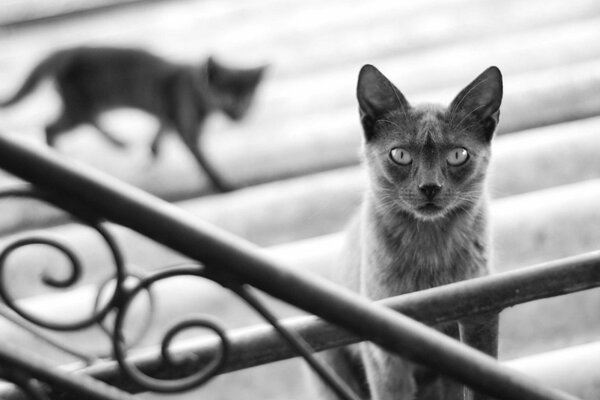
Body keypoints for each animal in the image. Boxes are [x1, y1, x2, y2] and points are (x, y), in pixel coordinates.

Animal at [0, 45, 268, 192]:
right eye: (227, 99)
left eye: (248, 99)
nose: (240, 115)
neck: (194, 85)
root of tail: (66, 51)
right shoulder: (187, 128)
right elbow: (205, 162)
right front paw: (224, 186)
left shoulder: (169, 115)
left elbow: (161, 129)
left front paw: (153, 150)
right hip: (80, 107)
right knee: (50, 127)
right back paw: (61, 156)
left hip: (87, 106)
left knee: (81, 123)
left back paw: (118, 142)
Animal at [314, 65, 502, 400]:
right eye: (400, 155)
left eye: (458, 155)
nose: (430, 186)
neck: (430, 251)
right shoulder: (384, 355)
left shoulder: (479, 323)